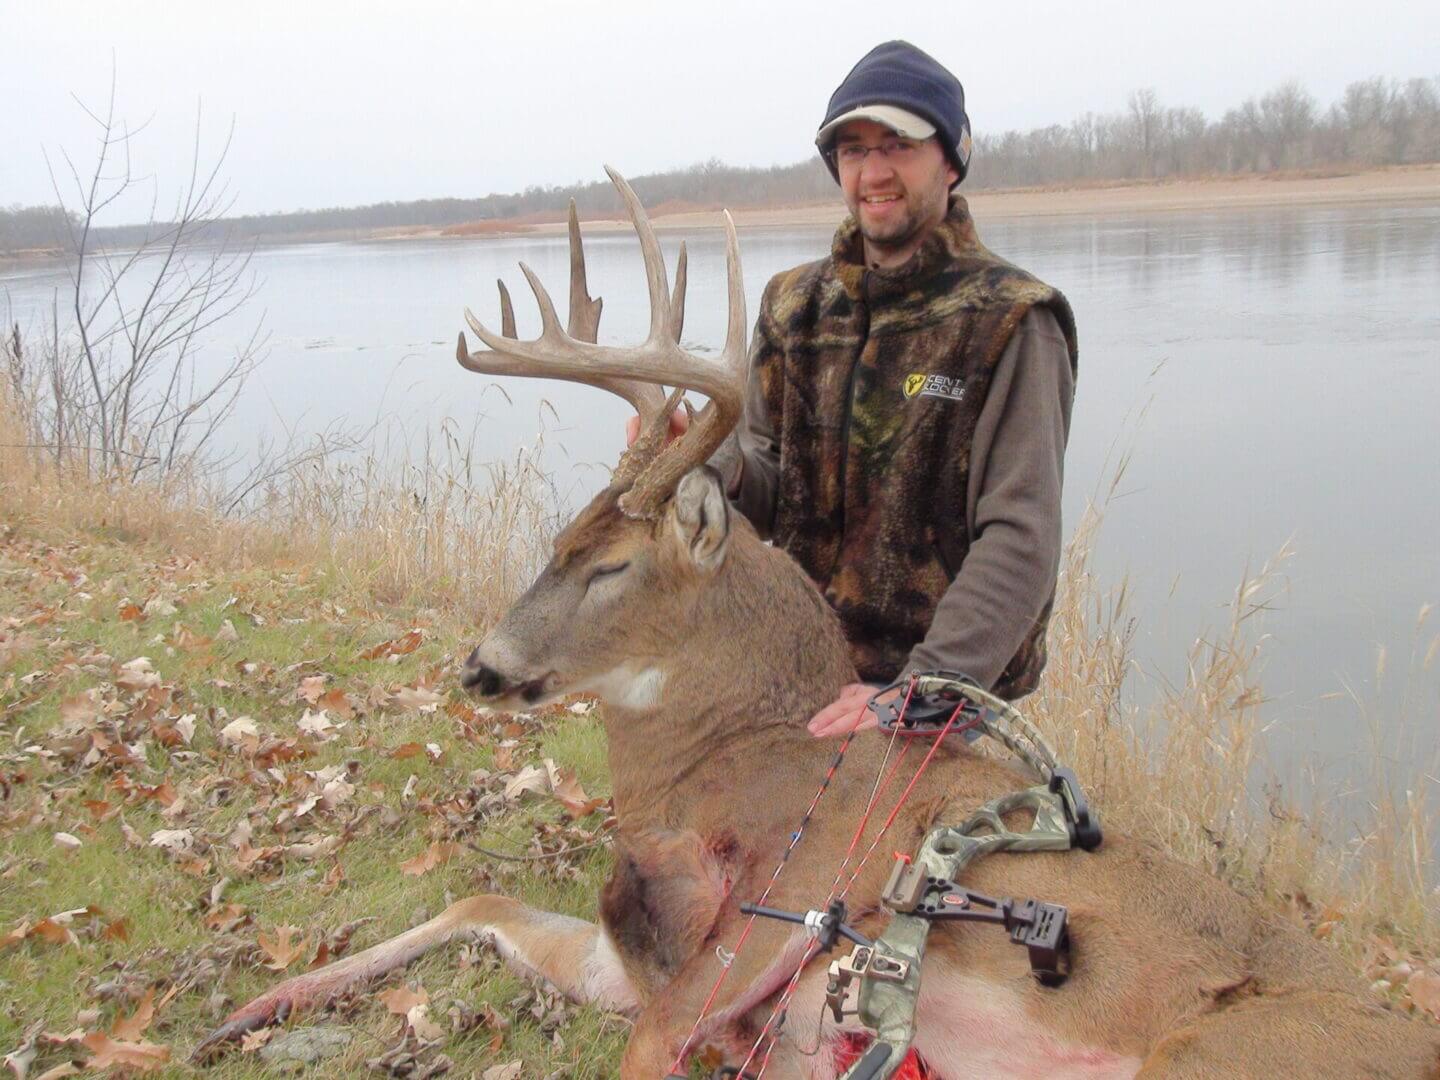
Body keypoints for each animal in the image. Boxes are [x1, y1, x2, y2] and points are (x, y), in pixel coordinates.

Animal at [196, 171, 1440, 1079]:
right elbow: (480, 896)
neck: (711, 771)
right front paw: (251, 1007)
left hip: (1221, 1052)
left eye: (609, 565)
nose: (482, 668)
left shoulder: (776, 909)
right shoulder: (636, 956)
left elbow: (644, 1035)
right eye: (555, 539)